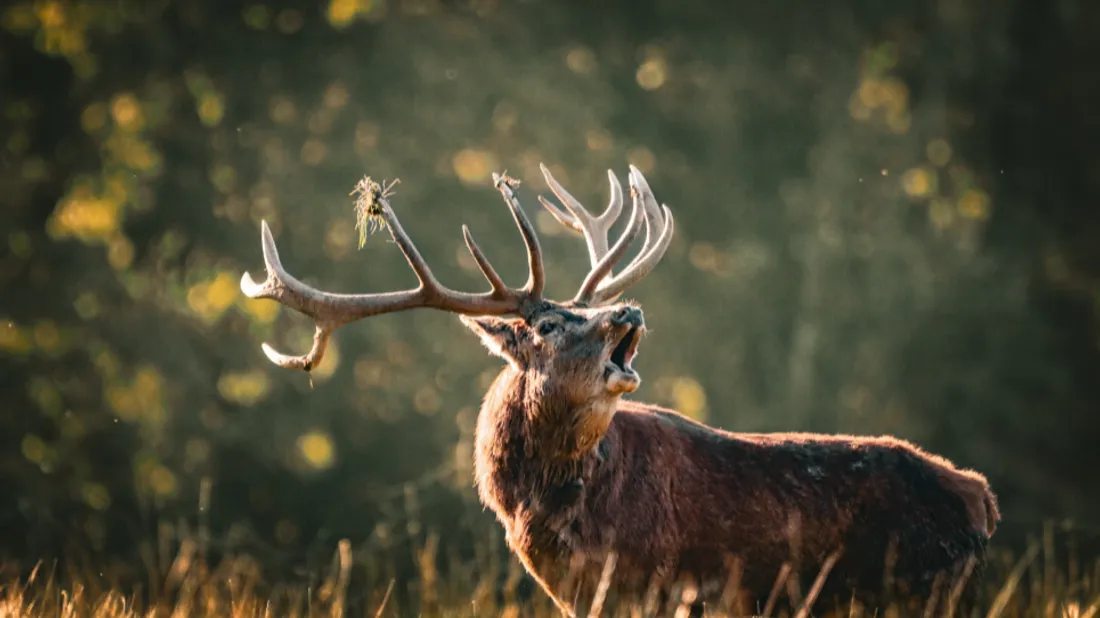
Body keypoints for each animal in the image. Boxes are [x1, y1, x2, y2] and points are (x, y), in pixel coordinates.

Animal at [239, 164, 1000, 617]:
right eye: (549, 321)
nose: (627, 310)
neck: (550, 518)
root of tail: (981, 498)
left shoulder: (653, 584)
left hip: (921, 589)